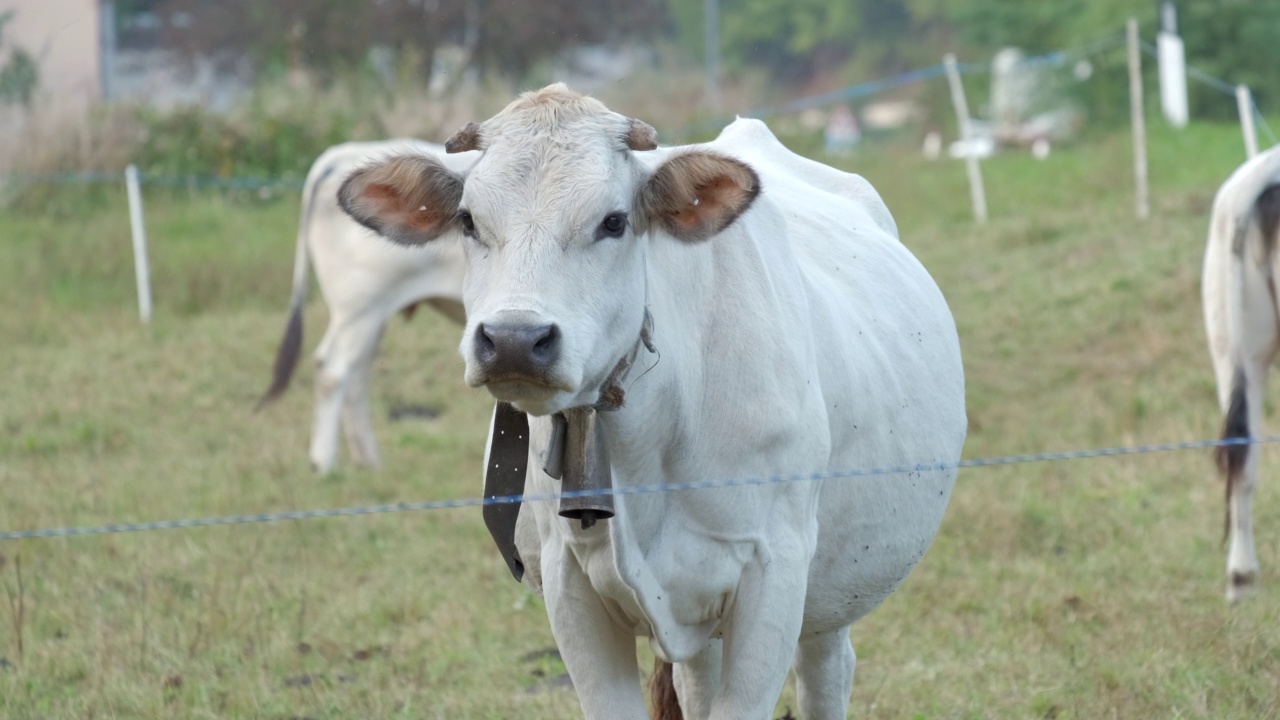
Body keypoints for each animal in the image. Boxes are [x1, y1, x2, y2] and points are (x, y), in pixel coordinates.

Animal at [335, 85, 962, 717]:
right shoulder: (571, 587)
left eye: (613, 221)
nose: (514, 340)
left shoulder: (775, 574)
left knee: (826, 675)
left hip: (832, 595)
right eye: (467, 220)